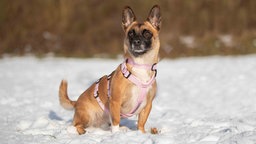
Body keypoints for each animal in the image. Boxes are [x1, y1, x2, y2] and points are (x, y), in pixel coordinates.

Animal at [59, 4, 161, 135]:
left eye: (147, 33)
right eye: (130, 34)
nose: (136, 42)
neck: (140, 64)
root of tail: (76, 102)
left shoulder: (147, 105)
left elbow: (141, 123)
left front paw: (141, 134)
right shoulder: (115, 102)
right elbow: (116, 120)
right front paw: (116, 134)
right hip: (88, 115)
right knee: (76, 125)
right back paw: (83, 131)